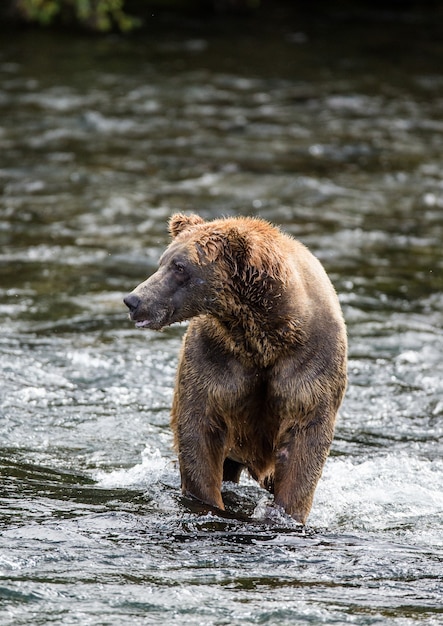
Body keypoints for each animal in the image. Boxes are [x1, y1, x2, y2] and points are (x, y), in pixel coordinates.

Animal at [124, 214, 346, 520]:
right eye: (162, 261)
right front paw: (209, 503)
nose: (134, 300)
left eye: (180, 266)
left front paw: (286, 512)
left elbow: (304, 443)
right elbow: (199, 433)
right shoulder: (214, 359)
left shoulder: (310, 364)